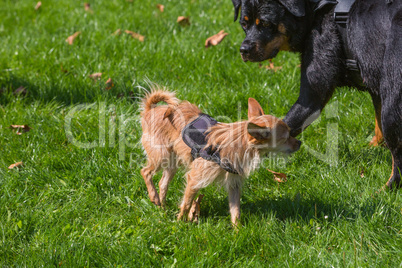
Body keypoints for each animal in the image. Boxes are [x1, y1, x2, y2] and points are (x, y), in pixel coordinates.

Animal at [140, 89, 300, 225]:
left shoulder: (233, 184)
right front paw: (180, 222)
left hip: (172, 161)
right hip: (161, 156)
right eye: (285, 138)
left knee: (163, 182)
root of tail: (151, 110)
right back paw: (154, 196)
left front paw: (237, 231)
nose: (300, 142)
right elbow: (186, 203)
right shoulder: (194, 179)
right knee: (145, 171)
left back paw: (162, 207)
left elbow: (236, 210)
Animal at [231, 0, 400, 188]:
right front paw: (375, 146)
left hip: (392, 103)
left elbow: (283, 125)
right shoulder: (375, 85)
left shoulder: (312, 97)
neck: (318, 10)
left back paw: (385, 189)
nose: (244, 49)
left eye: (266, 24)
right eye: (244, 24)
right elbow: (378, 124)